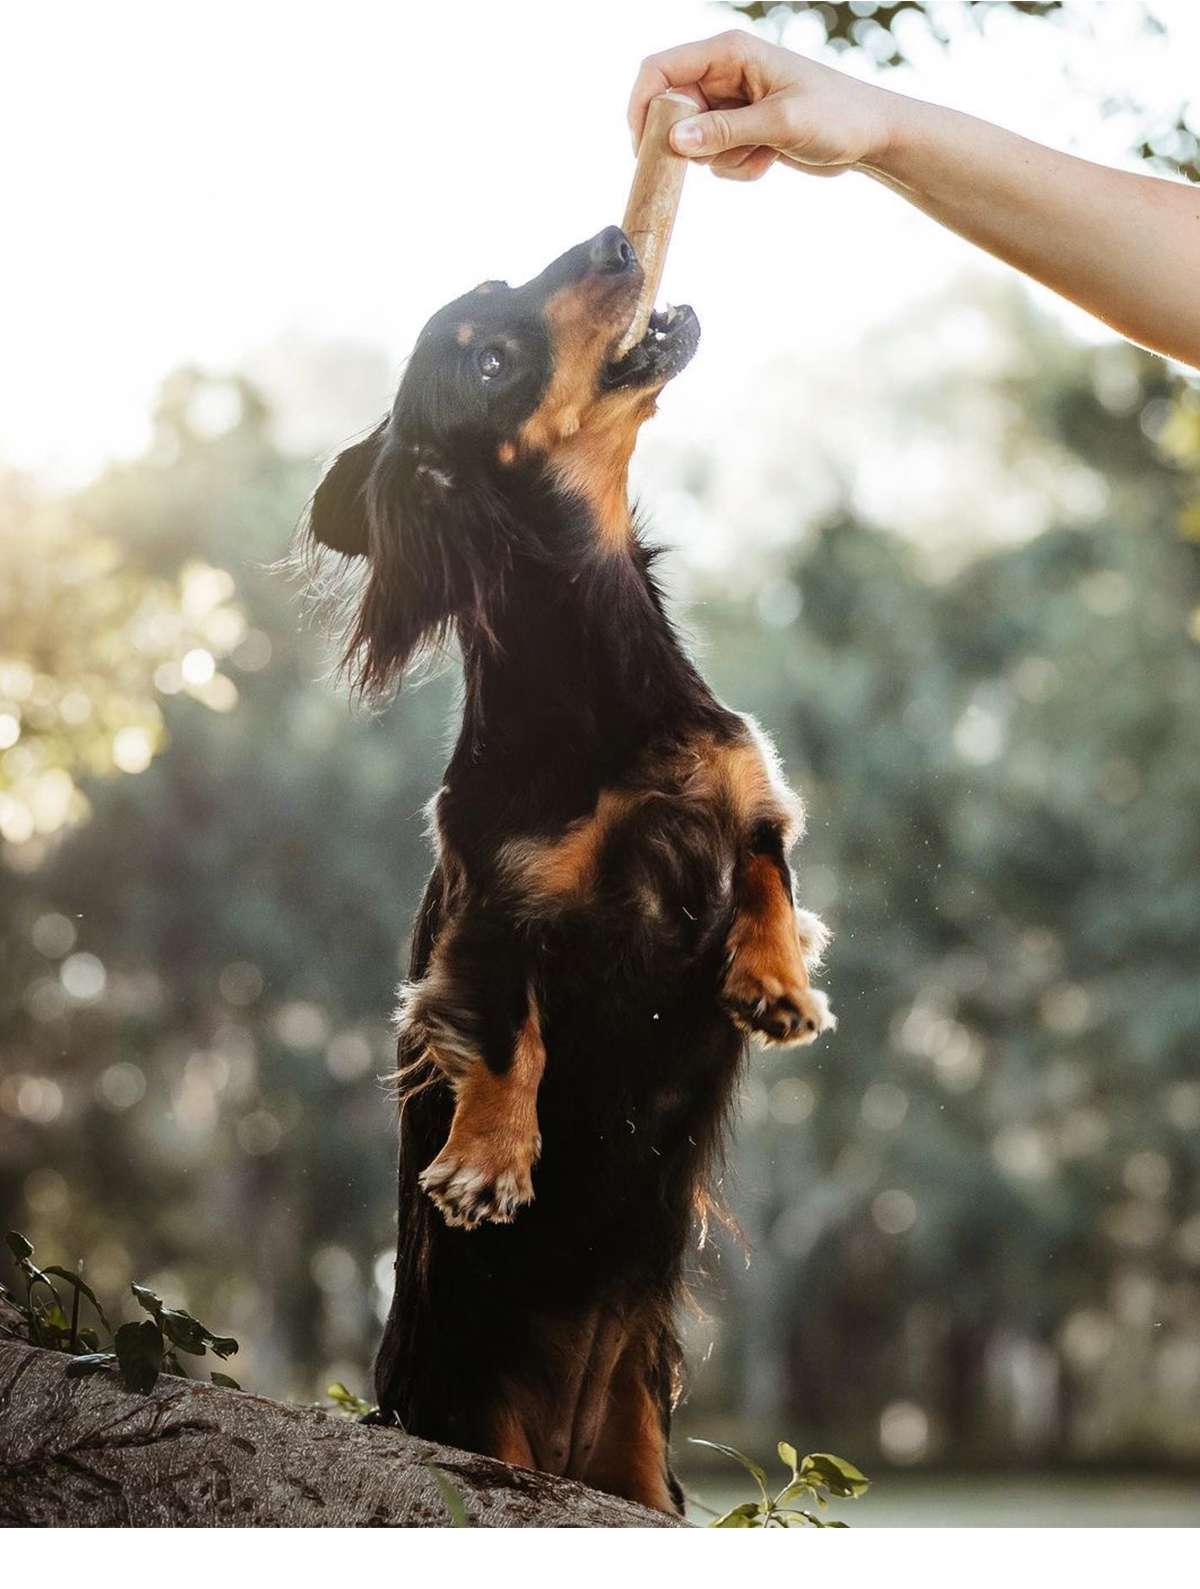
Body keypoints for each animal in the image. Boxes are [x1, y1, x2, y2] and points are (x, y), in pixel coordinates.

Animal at [309, 227, 832, 1512]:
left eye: (502, 291)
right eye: (490, 358)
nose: (616, 239)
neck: (596, 651)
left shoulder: (748, 799)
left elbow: (768, 876)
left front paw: (775, 983)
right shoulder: (492, 905)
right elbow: (511, 1030)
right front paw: (488, 1162)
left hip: (636, 1453)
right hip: (480, 1426)